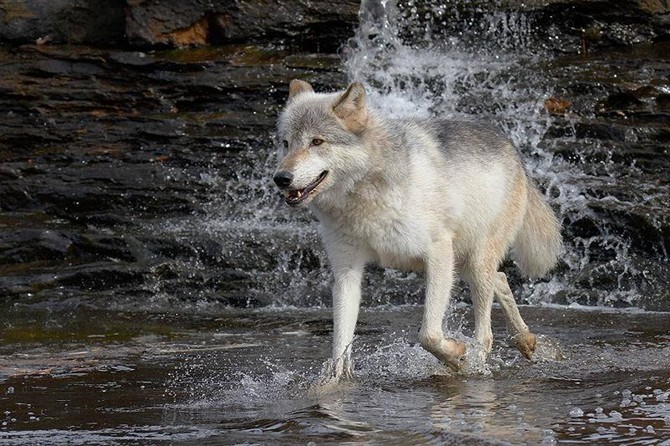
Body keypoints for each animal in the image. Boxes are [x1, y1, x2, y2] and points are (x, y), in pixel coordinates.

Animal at [272, 80, 560, 380]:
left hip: (472, 261)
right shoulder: (346, 273)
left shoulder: (438, 253)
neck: (364, 197)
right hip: (460, 264)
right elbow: (340, 349)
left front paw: (457, 357)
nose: (281, 178)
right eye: (286, 143)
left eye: (317, 142)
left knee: (486, 333)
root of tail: (511, 148)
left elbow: (428, 335)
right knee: (501, 279)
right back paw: (524, 339)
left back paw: (478, 363)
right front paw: (335, 382)